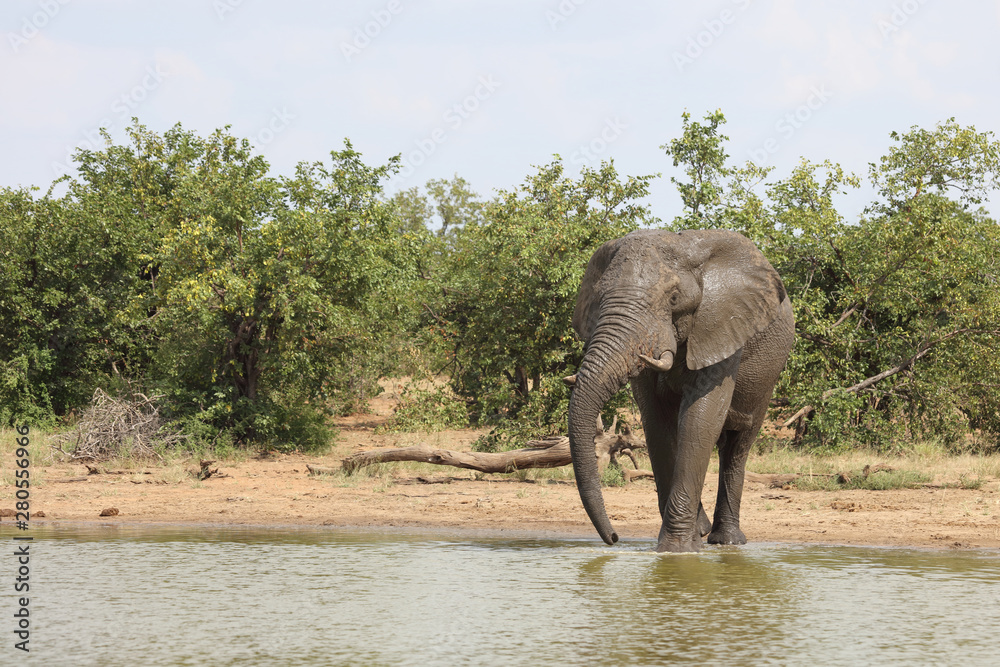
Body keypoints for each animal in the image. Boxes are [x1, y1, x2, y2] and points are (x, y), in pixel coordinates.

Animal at [567, 228, 794, 553]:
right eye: (599, 299)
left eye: (673, 298)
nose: (614, 538)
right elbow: (657, 422)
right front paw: (686, 542)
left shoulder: (722, 327)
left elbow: (701, 417)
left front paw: (676, 551)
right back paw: (706, 531)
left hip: (768, 378)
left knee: (738, 446)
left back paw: (727, 541)